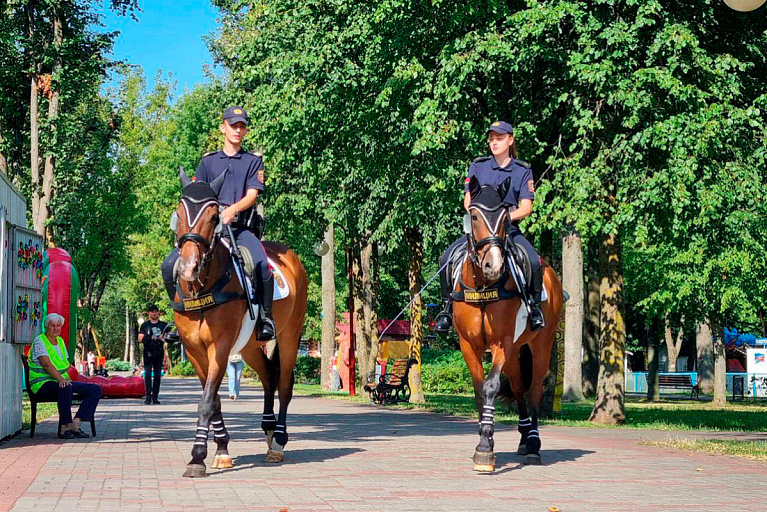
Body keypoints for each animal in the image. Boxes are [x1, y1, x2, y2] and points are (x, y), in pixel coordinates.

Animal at [172, 170, 308, 478]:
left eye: (214, 216)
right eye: (179, 213)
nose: (188, 266)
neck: (205, 286)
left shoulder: (220, 347)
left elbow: (207, 401)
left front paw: (197, 457)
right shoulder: (195, 350)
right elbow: (213, 400)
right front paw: (221, 450)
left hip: (290, 336)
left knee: (284, 382)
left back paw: (278, 440)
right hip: (249, 346)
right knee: (268, 376)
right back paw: (268, 428)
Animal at [456, 176, 564, 472]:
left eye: (506, 217)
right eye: (474, 215)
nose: (493, 265)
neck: (483, 286)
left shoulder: (501, 342)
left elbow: (492, 386)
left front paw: (484, 447)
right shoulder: (468, 344)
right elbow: (480, 391)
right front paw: (486, 439)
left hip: (541, 345)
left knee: (534, 389)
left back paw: (534, 444)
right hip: (516, 352)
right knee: (518, 387)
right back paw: (524, 438)